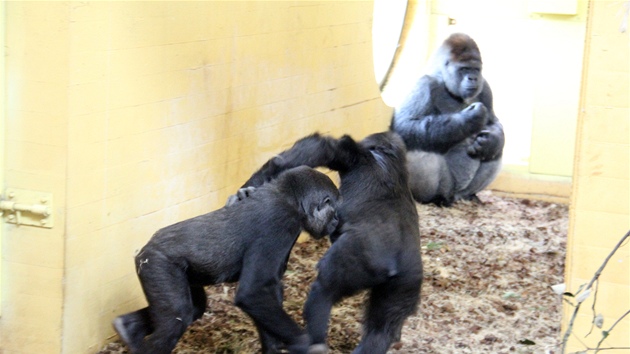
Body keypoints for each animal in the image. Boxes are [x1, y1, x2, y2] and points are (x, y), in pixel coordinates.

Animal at [111, 167, 344, 354]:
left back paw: (128, 328)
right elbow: (253, 292)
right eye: (332, 209)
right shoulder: (281, 222)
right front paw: (307, 345)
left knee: (192, 308)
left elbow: (268, 290)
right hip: (155, 264)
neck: (289, 197)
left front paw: (274, 347)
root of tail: (142, 251)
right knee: (175, 317)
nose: (336, 220)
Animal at [242, 132, 424, 354]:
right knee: (381, 331)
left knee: (324, 291)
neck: (389, 160)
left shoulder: (357, 156)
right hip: (408, 282)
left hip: (360, 259)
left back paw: (313, 341)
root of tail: (395, 266)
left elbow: (323, 148)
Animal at [390, 32, 508, 206]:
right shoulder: (424, 84)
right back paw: (433, 198)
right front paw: (470, 118)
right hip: (446, 187)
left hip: (460, 192)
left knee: (496, 152)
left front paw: (490, 141)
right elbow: (405, 125)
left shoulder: (486, 87)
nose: (473, 78)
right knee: (421, 149)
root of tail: (453, 196)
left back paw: (471, 195)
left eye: (476, 69)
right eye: (464, 69)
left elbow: (493, 124)